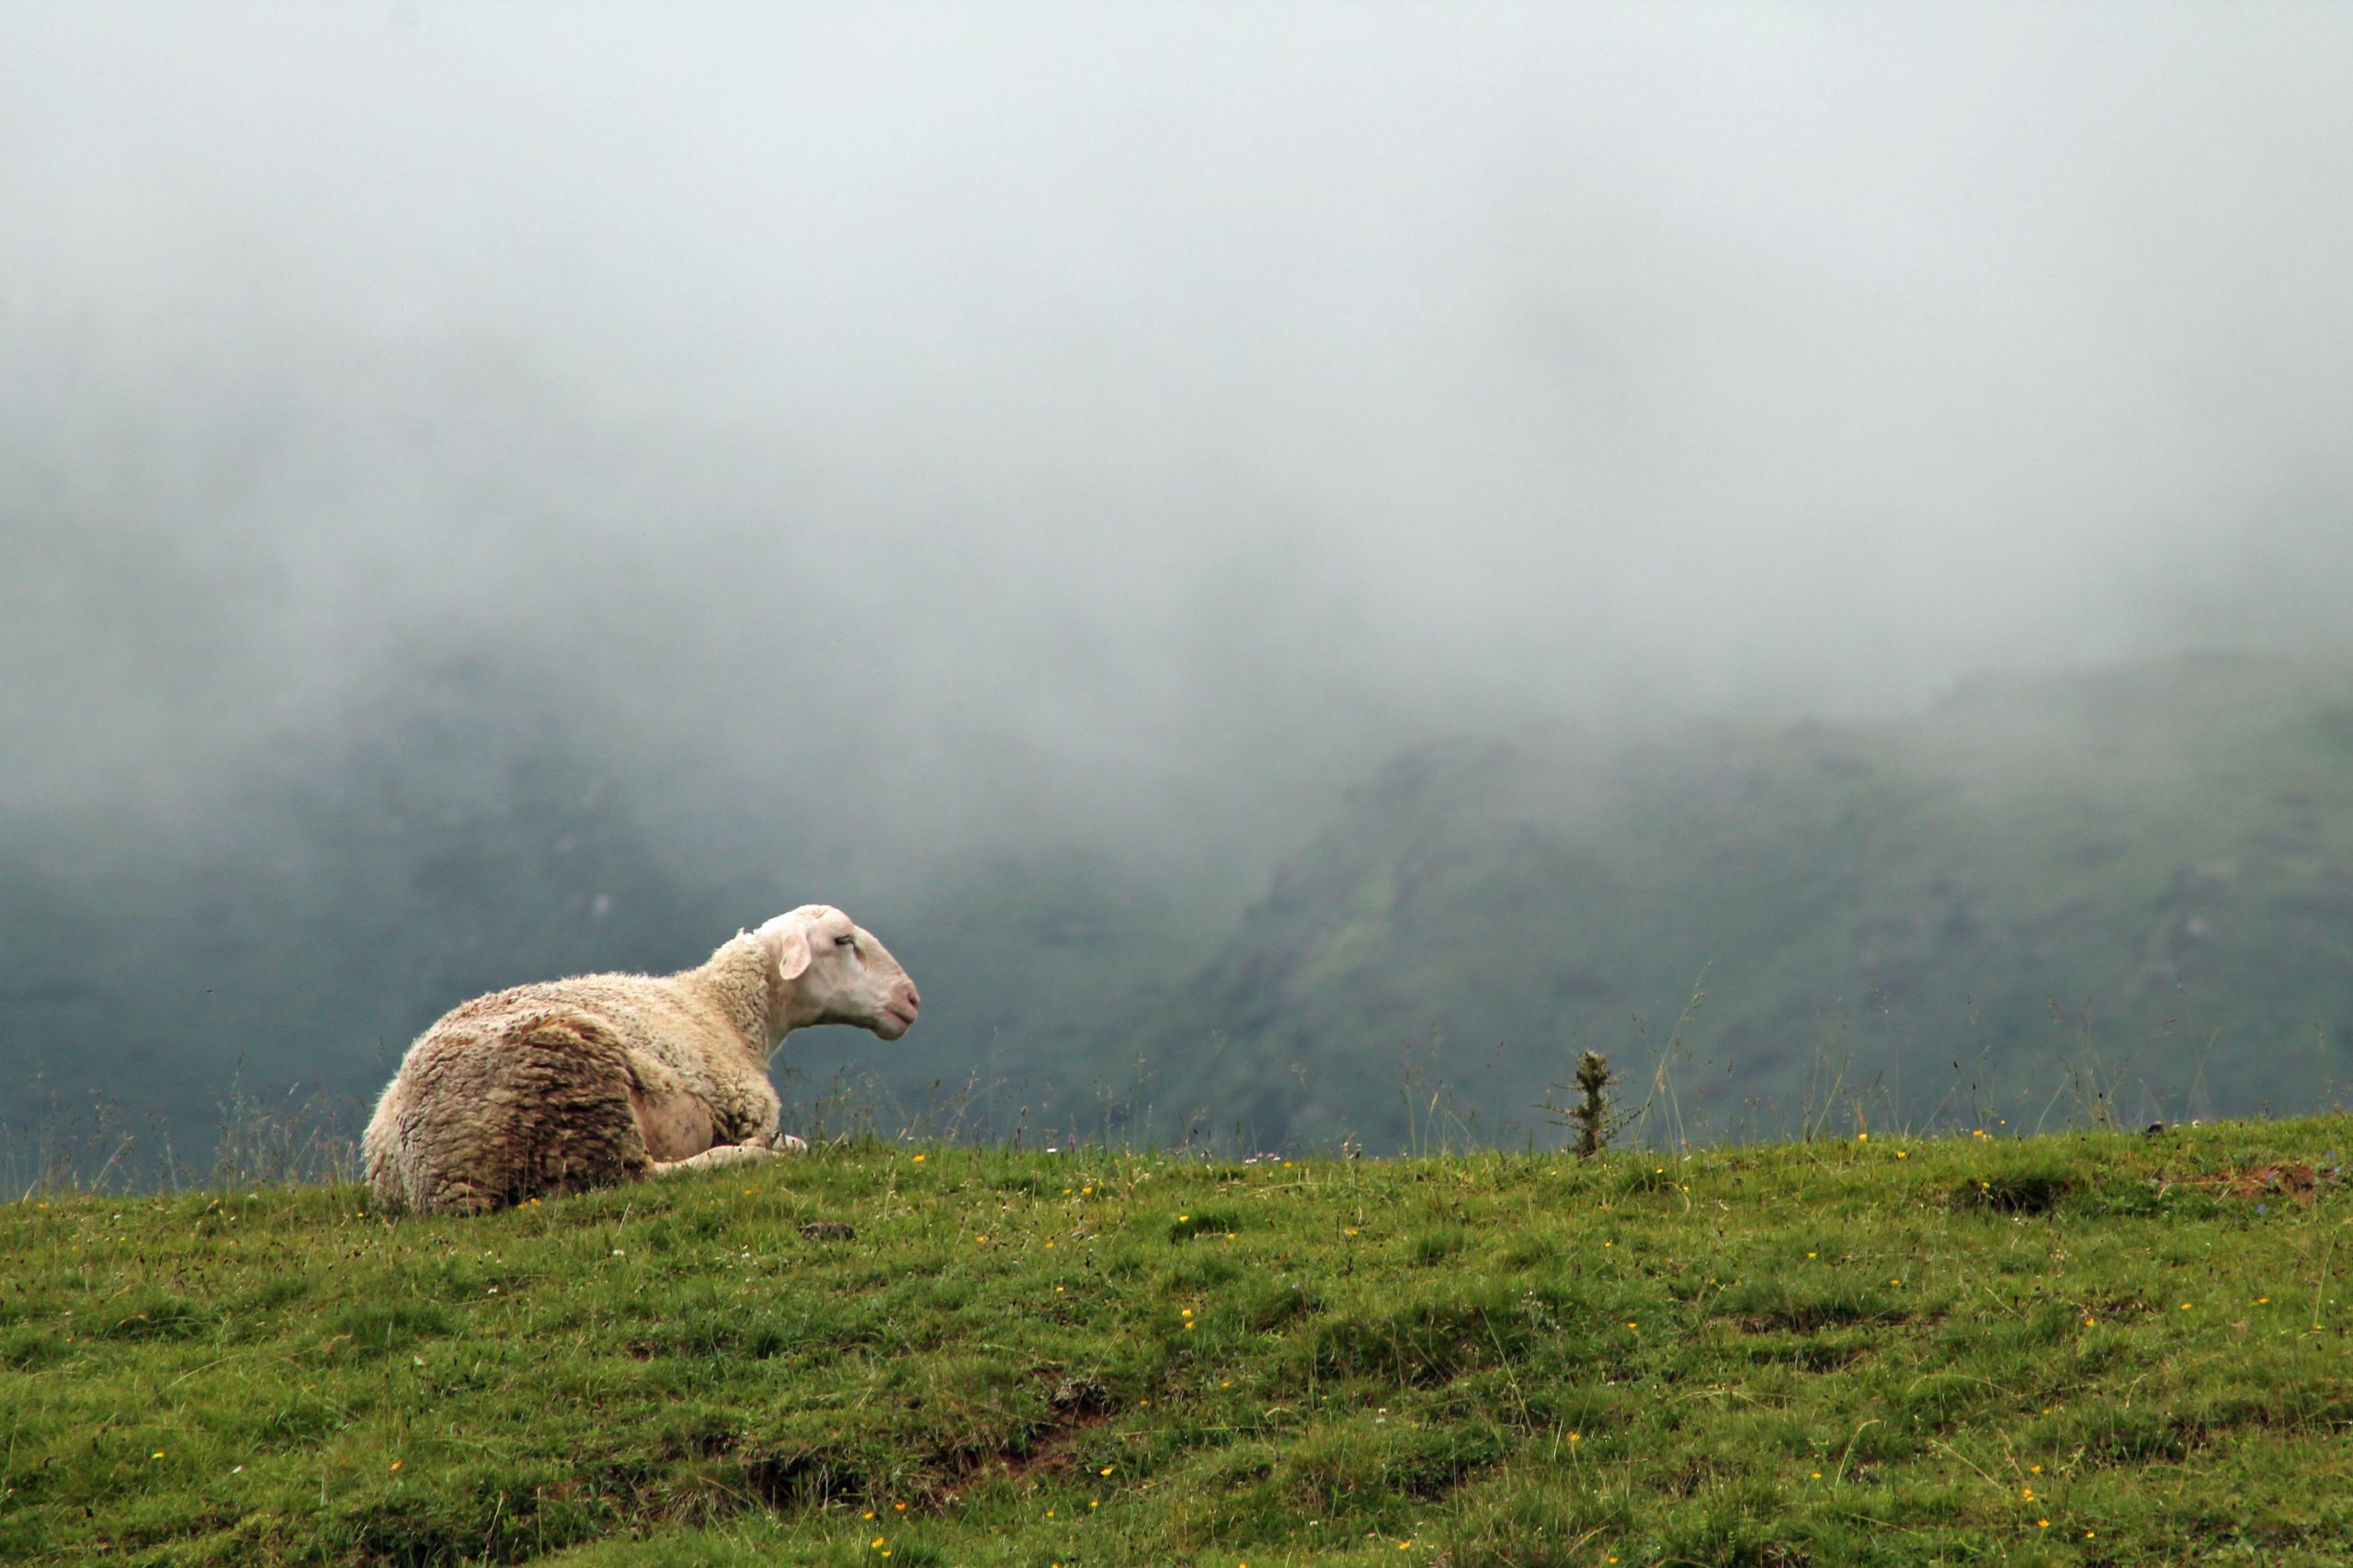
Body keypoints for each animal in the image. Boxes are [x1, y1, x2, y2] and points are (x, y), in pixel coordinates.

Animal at [364, 899, 917, 1214]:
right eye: (843, 941)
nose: (911, 999)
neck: (720, 1010)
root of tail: (441, 1179)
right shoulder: (744, 1108)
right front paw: (776, 1144)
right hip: (581, 1097)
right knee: (636, 1178)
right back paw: (761, 1152)